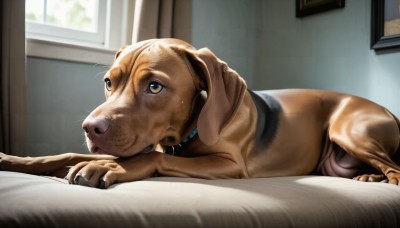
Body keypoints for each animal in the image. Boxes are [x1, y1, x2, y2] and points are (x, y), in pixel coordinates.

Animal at [0, 39, 400, 188]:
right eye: (109, 83)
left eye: (155, 87)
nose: (89, 128)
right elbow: (64, 154)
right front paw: (14, 160)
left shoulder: (229, 165)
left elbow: (151, 160)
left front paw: (103, 168)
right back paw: (366, 177)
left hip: (349, 129)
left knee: (395, 169)